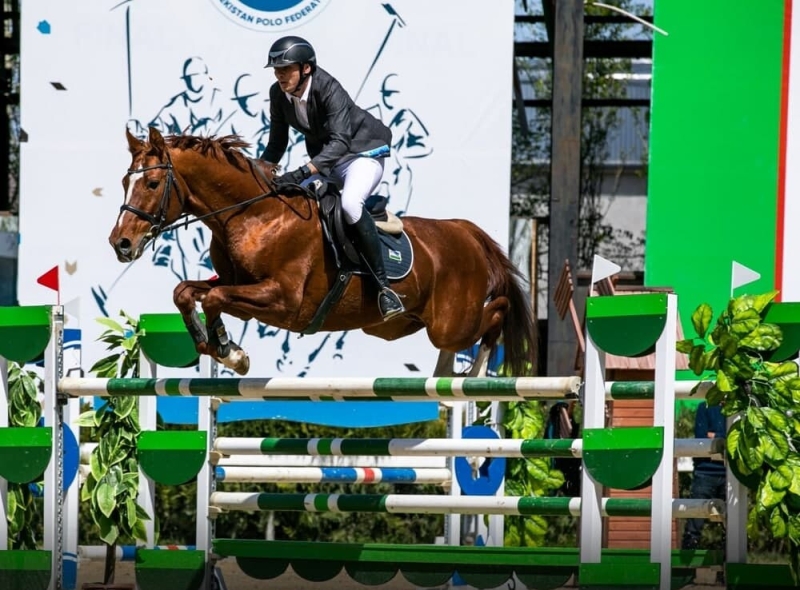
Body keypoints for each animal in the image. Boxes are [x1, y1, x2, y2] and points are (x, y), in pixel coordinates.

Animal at [109, 128, 536, 380]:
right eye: (125, 182)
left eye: (151, 183)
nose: (121, 243)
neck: (252, 215)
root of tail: (464, 231)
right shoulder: (236, 287)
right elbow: (186, 292)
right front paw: (216, 344)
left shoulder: (281, 300)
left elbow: (213, 298)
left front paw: (230, 352)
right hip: (397, 325)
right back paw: (446, 379)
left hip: (451, 320)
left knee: (496, 313)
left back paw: (476, 372)